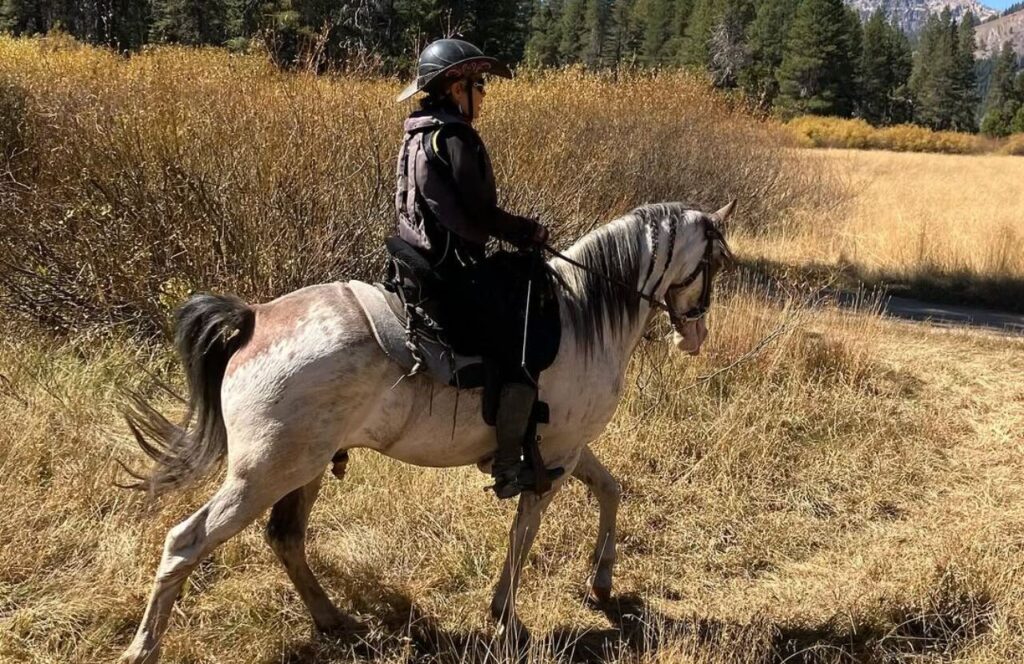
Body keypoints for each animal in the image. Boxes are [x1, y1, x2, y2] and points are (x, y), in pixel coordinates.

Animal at [118, 200, 736, 663]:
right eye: (714, 262)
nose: (696, 335)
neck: (586, 316)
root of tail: (253, 320)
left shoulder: (568, 449)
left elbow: (610, 490)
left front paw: (602, 581)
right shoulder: (554, 458)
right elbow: (525, 533)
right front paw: (507, 617)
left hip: (302, 468)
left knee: (285, 538)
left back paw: (334, 620)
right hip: (261, 475)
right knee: (186, 542)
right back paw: (143, 649)